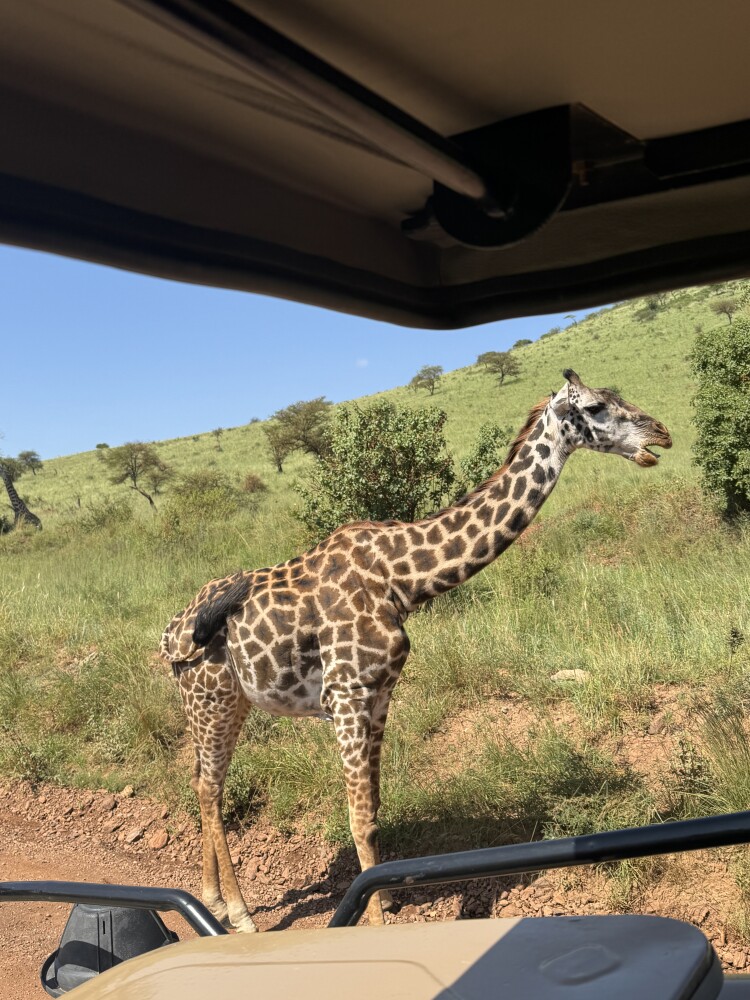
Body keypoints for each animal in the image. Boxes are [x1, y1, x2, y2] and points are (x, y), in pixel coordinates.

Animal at [159, 370, 671, 931]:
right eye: (597, 407)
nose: (662, 434)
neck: (401, 579)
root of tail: (170, 633)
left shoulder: (381, 693)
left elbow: (376, 808)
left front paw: (381, 900)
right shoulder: (347, 694)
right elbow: (359, 817)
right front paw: (375, 923)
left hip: (228, 702)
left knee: (202, 781)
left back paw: (211, 900)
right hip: (212, 699)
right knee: (209, 786)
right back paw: (240, 913)